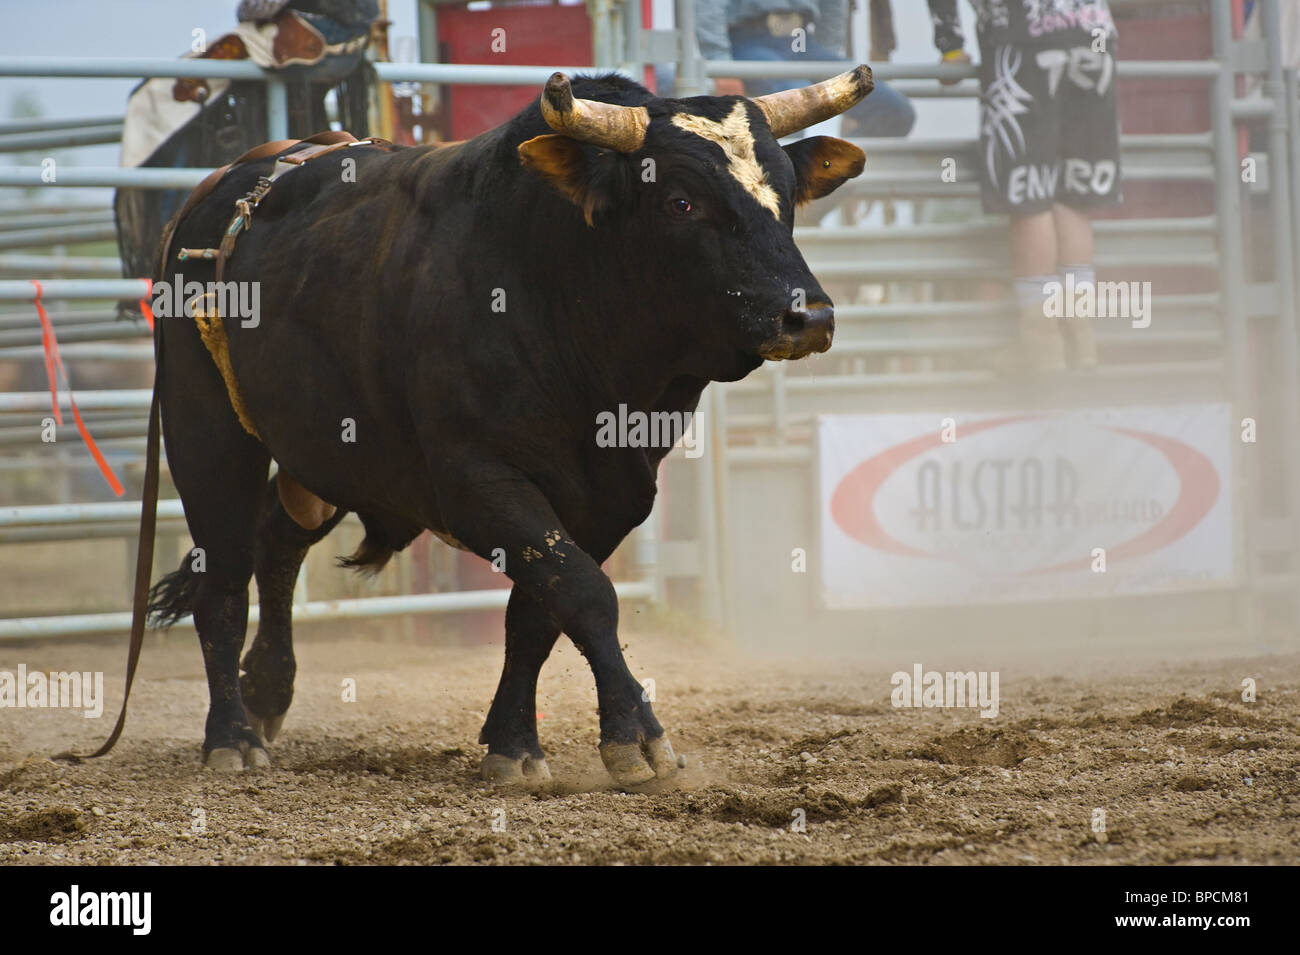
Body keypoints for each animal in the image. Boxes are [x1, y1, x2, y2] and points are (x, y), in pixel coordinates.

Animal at [130, 67, 872, 785]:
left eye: (787, 195)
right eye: (681, 202)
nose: (808, 316)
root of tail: (214, 197)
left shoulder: (611, 496)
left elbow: (537, 614)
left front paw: (513, 743)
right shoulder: (479, 481)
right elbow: (585, 593)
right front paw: (636, 737)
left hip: (330, 455)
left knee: (277, 542)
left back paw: (268, 689)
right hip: (207, 434)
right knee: (224, 580)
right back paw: (231, 736)